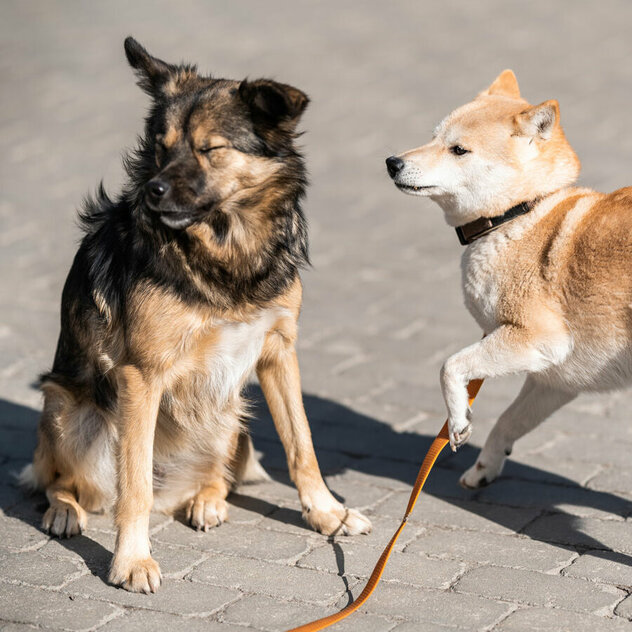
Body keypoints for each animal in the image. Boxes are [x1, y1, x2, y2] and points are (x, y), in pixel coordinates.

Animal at [22, 38, 370, 592]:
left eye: (211, 149)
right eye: (161, 147)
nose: (154, 191)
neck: (225, 249)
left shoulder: (278, 350)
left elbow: (302, 444)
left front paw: (328, 515)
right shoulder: (141, 375)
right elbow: (134, 487)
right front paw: (132, 561)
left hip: (230, 411)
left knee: (218, 474)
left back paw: (206, 499)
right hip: (65, 407)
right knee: (64, 481)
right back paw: (64, 511)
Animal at [386, 71, 632, 488]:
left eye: (458, 150)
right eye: (433, 137)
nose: (392, 162)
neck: (519, 214)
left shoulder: (539, 338)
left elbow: (450, 366)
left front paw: (457, 420)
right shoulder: (556, 377)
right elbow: (508, 421)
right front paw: (484, 466)